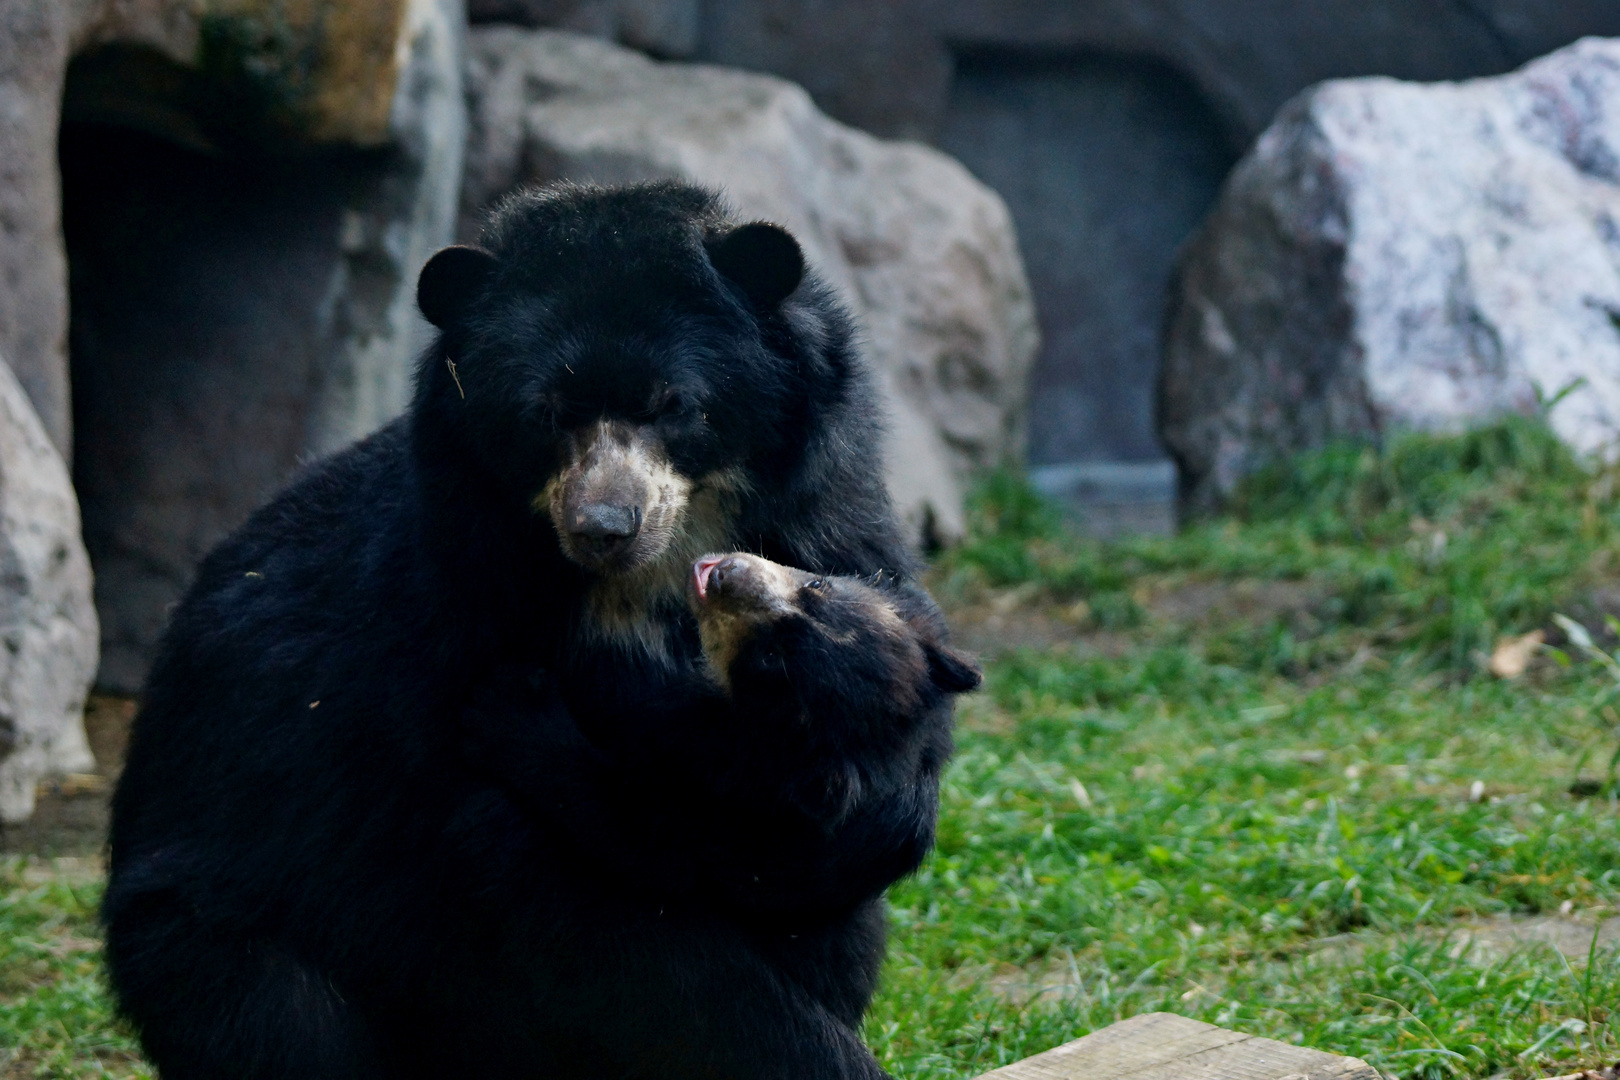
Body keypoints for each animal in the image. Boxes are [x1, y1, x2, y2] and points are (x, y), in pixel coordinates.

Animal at [110, 186, 972, 1080]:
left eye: (673, 405)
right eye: (545, 414)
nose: (604, 527)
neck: (647, 581)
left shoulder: (827, 518)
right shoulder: (460, 628)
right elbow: (573, 896)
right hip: (219, 910)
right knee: (276, 1015)